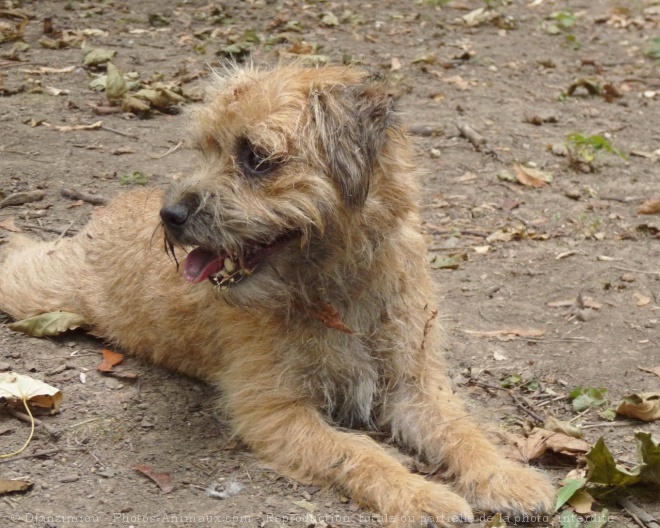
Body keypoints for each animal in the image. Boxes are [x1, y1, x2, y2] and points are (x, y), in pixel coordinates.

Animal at [0, 64, 556, 524]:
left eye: (257, 158)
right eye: (206, 148)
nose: (171, 216)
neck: (338, 287)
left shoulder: (414, 387)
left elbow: (464, 432)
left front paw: (509, 477)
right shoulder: (275, 411)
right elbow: (360, 452)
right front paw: (419, 495)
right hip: (41, 288)